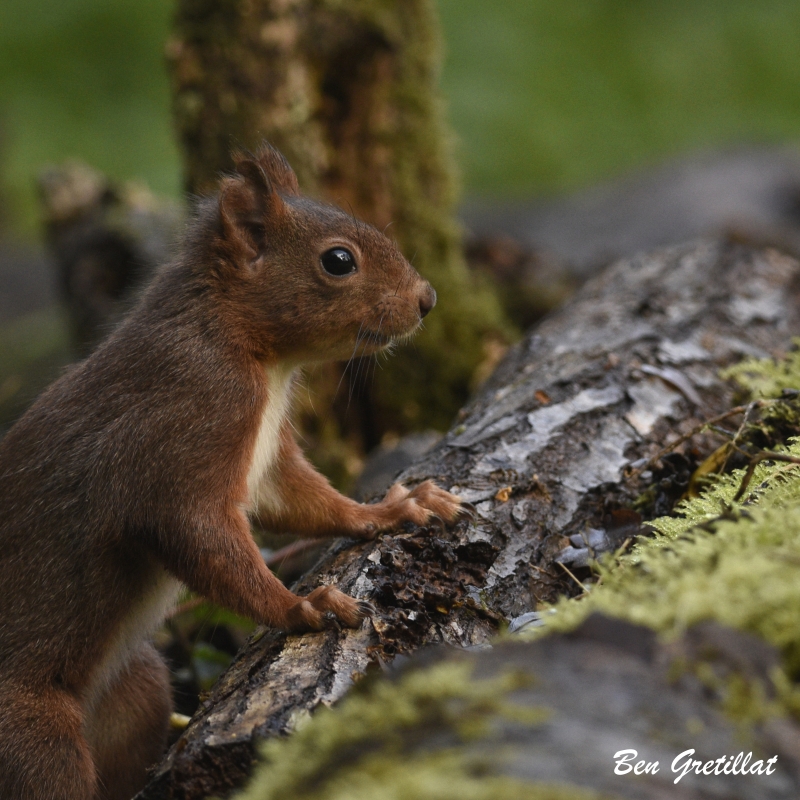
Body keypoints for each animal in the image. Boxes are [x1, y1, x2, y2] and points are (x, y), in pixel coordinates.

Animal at [1, 145, 462, 800]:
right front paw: (300, 608)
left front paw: (389, 509)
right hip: (32, 735)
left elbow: (302, 501)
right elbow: (194, 530)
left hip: (136, 688)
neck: (244, 345)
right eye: (338, 260)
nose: (426, 299)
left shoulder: (266, 461)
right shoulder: (186, 425)